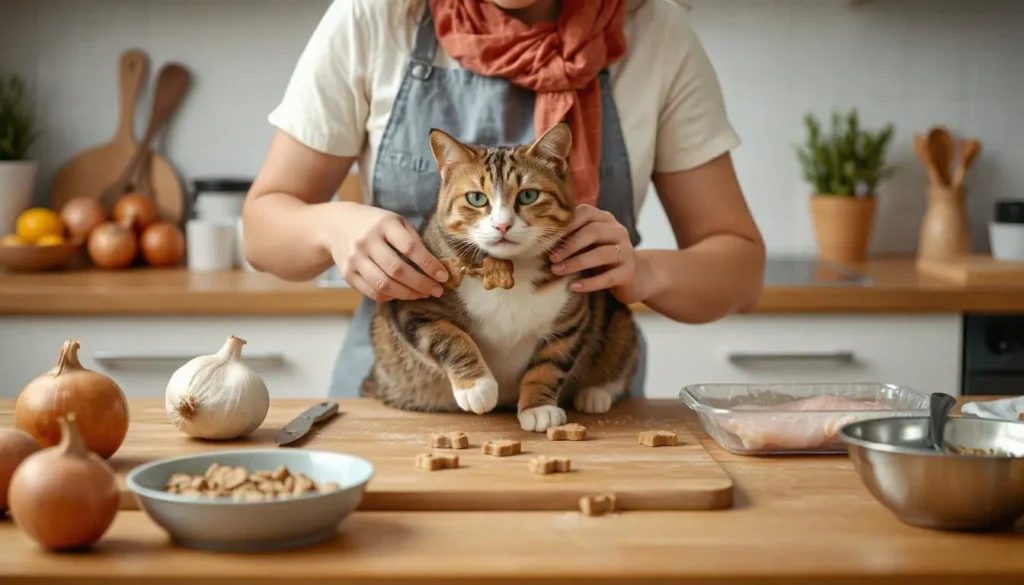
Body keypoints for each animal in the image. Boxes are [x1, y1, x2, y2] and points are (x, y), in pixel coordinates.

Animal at [358, 123, 630, 432]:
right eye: (476, 198)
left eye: (528, 195)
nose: (502, 225)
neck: (511, 268)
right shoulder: (416, 299)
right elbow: (447, 335)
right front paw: (477, 386)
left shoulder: (571, 315)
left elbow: (551, 363)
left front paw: (539, 407)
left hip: (617, 322)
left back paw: (595, 393)